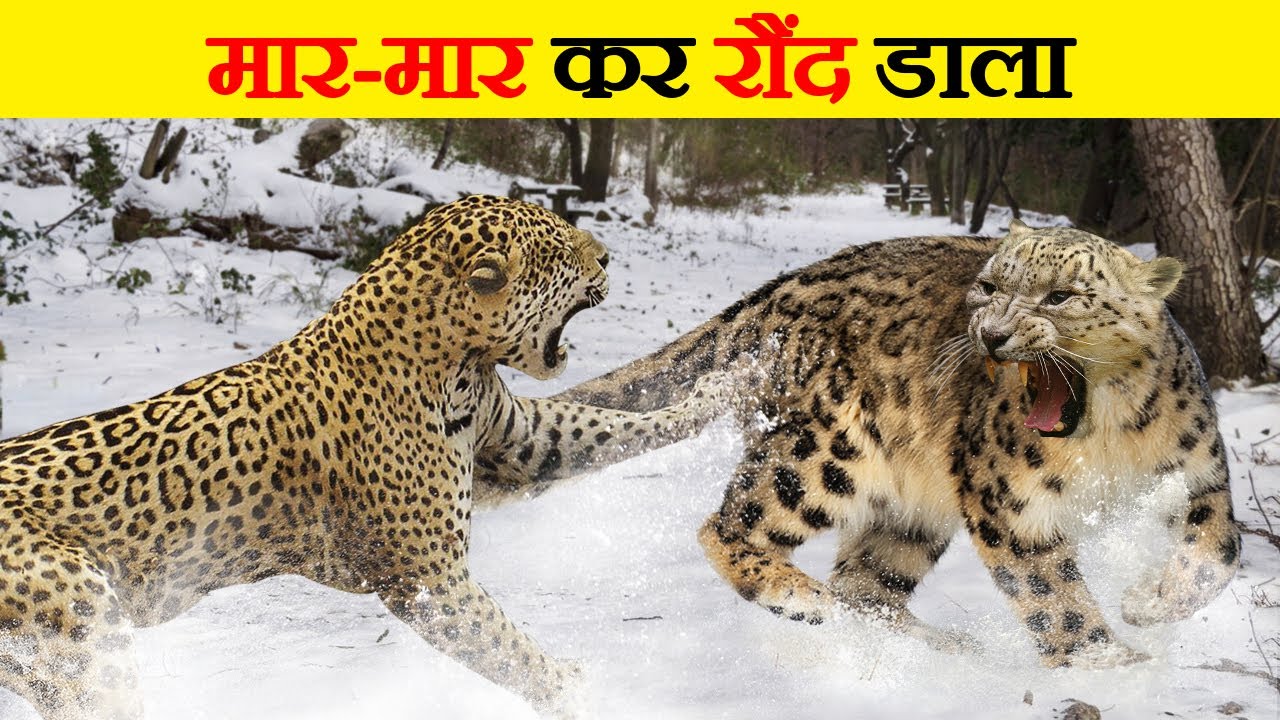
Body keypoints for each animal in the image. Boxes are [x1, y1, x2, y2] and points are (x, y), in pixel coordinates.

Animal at [0, 195, 732, 720]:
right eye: (556, 251)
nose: (607, 256)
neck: (456, 362)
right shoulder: (427, 581)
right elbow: (507, 647)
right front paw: (577, 691)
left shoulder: (518, 440)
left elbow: (616, 428)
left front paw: (721, 391)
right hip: (84, 639)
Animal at [484, 220, 1242, 668]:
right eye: (989, 285)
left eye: (1061, 296)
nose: (992, 333)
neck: (1104, 441)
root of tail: (771, 292)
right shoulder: (1008, 502)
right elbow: (1049, 590)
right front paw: (1104, 664)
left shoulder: (1199, 473)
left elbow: (1218, 553)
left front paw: (1149, 603)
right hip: (825, 448)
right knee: (732, 526)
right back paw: (802, 599)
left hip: (911, 506)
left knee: (867, 582)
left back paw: (941, 644)